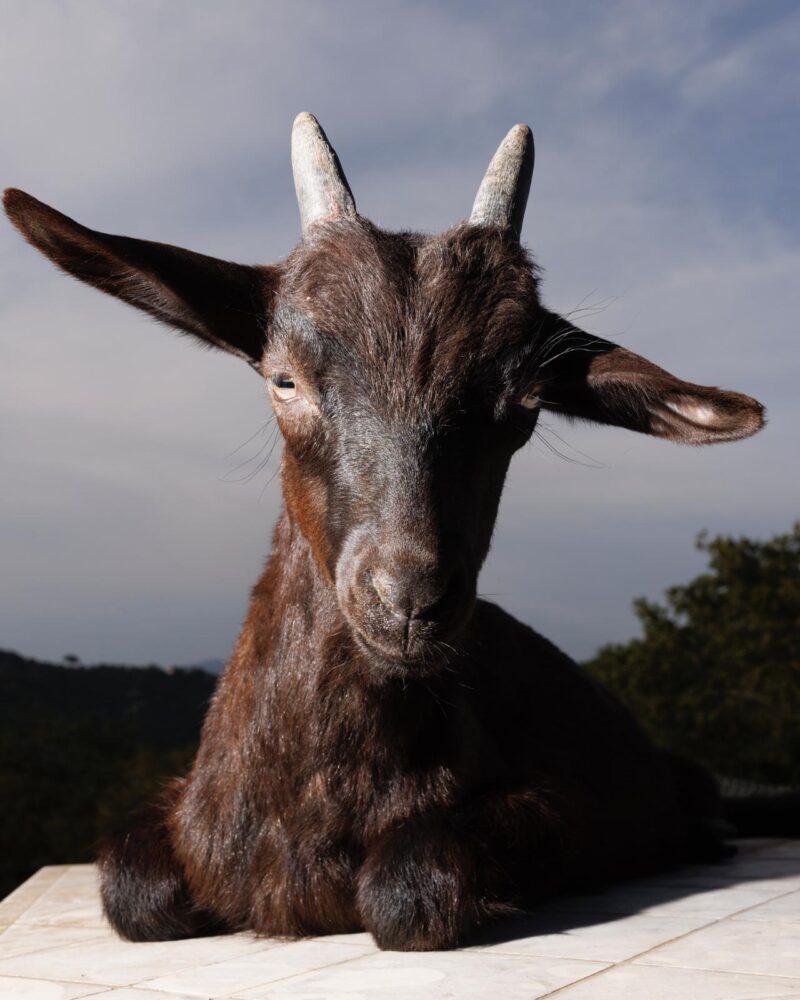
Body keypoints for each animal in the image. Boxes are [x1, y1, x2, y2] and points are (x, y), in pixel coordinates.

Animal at [4, 114, 765, 951]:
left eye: (525, 401)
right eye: (284, 378)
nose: (408, 602)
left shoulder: (566, 801)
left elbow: (410, 889)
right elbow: (134, 891)